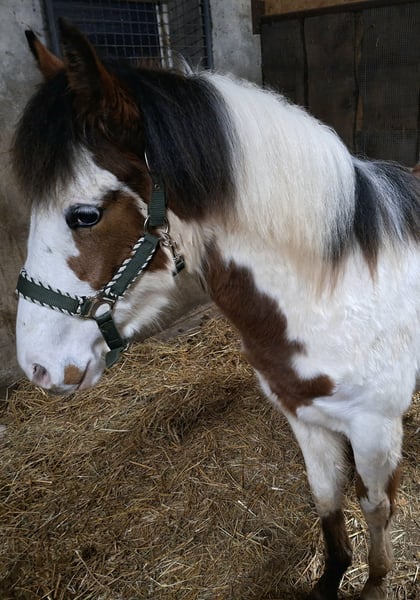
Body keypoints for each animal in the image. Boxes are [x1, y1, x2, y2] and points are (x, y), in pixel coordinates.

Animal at [13, 20, 419, 600]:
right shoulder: (304, 416)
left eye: (85, 214)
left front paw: (374, 581)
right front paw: (331, 576)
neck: (336, 294)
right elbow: (325, 499)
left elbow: (376, 506)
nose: (38, 367)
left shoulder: (375, 430)